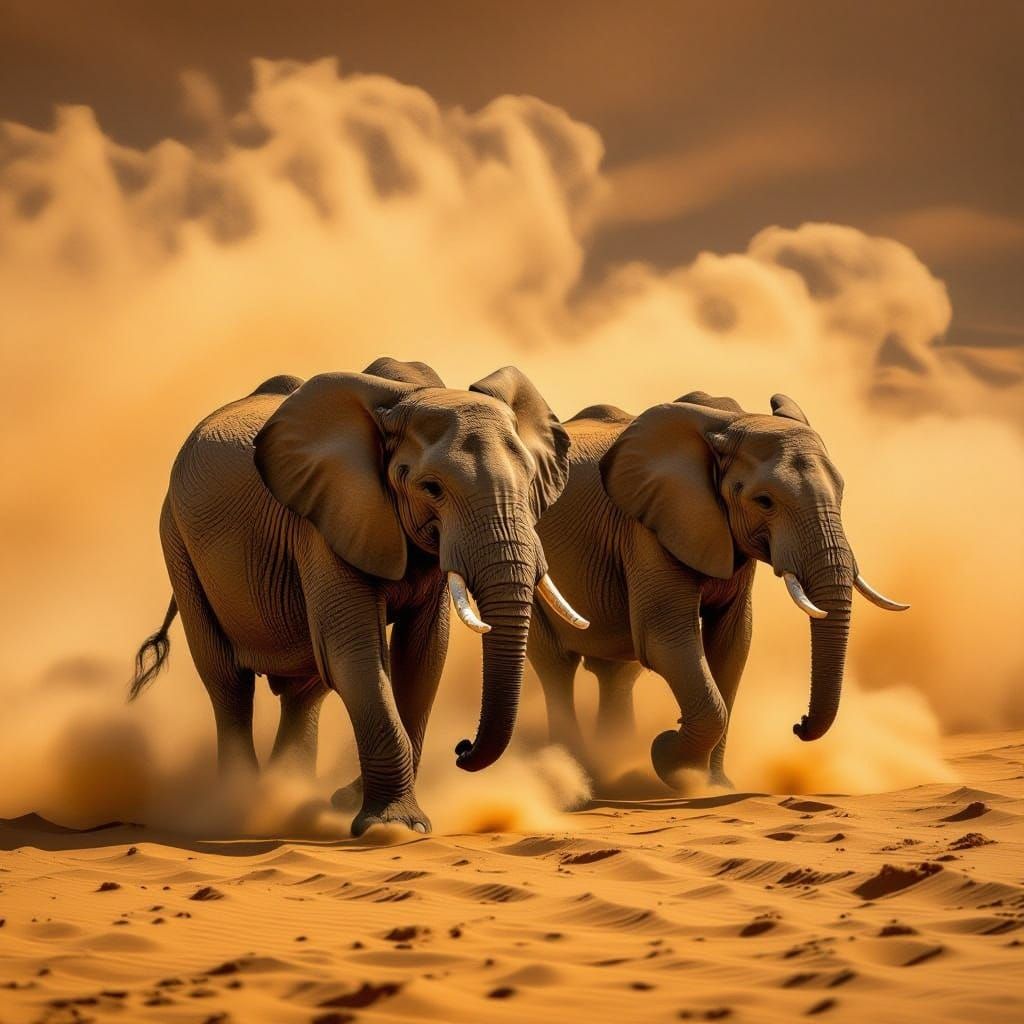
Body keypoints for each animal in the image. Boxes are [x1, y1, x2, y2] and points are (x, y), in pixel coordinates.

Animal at [128, 357, 588, 835]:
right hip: (177, 541)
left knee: (305, 687)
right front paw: (393, 828)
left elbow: (423, 656)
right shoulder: (325, 518)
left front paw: (364, 809)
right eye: (432, 488)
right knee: (226, 679)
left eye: (530, 480)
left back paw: (290, 797)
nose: (462, 748)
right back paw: (240, 807)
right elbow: (356, 655)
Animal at [527, 392, 907, 790]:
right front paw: (671, 760)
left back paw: (613, 767)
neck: (729, 424)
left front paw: (715, 784)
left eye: (842, 492)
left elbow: (732, 643)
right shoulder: (651, 527)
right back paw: (577, 774)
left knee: (616, 670)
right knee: (556, 663)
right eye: (764, 501)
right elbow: (665, 638)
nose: (798, 725)